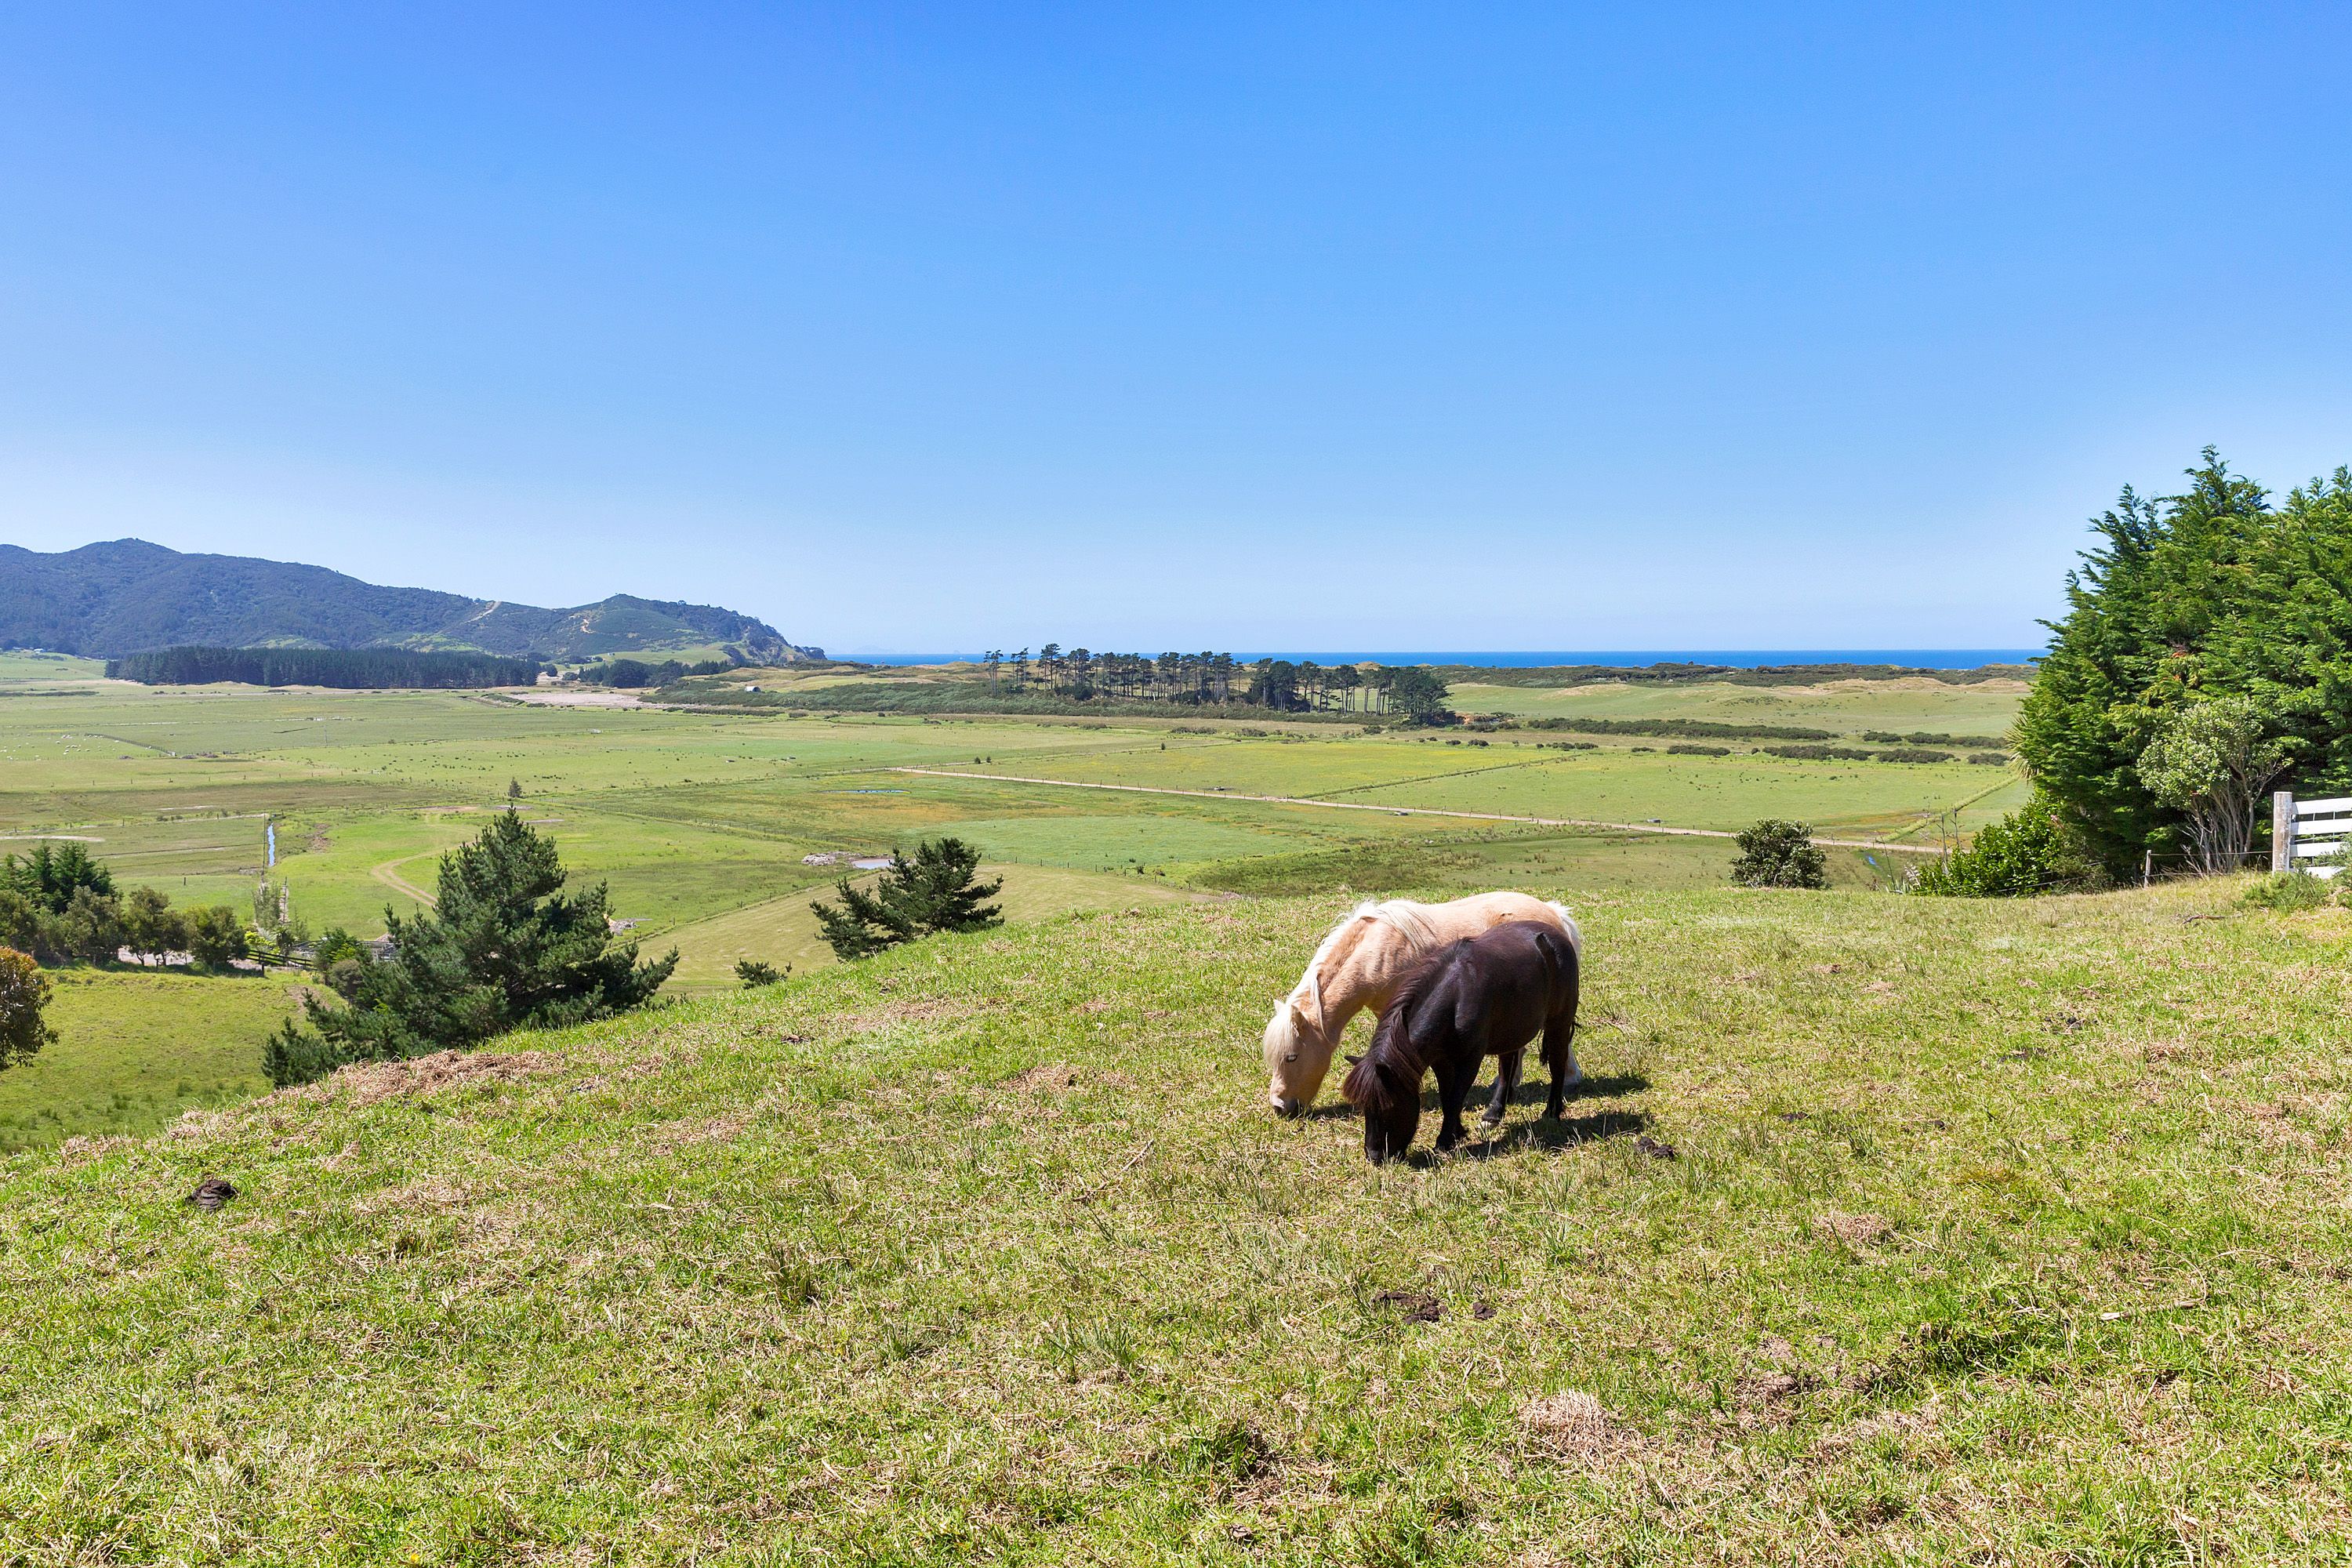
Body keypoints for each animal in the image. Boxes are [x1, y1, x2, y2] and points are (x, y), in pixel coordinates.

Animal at [1341, 919, 1582, 1163]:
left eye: (1389, 1105)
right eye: (1363, 1108)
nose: (1374, 1156)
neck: (1457, 996)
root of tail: (1556, 935)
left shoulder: (1470, 1060)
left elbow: (1456, 1097)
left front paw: (1444, 1141)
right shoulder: (1441, 1060)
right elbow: (1447, 1096)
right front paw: (1456, 1132)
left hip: (1558, 1023)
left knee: (1557, 1063)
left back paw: (1552, 1111)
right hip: (1511, 1030)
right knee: (1507, 1067)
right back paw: (1494, 1114)